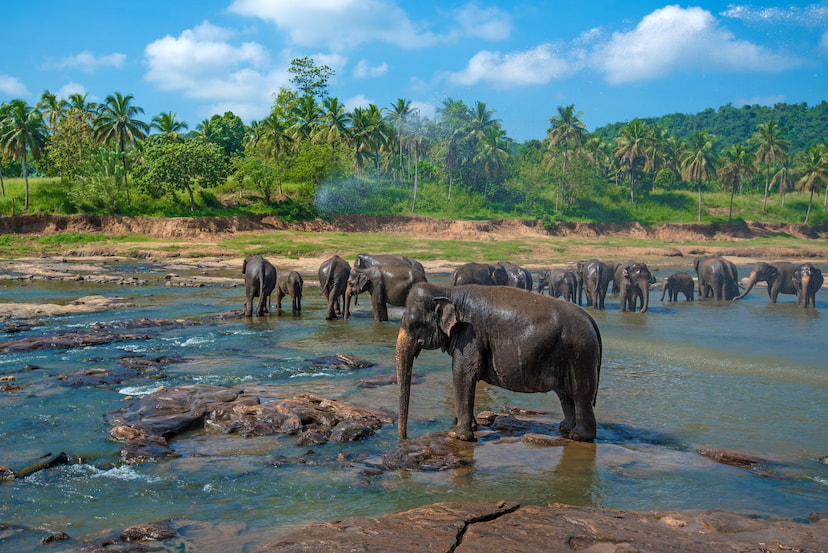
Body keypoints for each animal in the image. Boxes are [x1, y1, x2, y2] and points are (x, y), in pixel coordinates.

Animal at [395, 283, 602, 442]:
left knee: (580, 395)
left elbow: (462, 374)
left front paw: (457, 435)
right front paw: (469, 427)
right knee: (565, 395)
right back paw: (565, 428)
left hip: (580, 352)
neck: (447, 290)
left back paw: (578, 436)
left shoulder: (470, 335)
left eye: (414, 325)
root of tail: (591, 320)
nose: (404, 438)